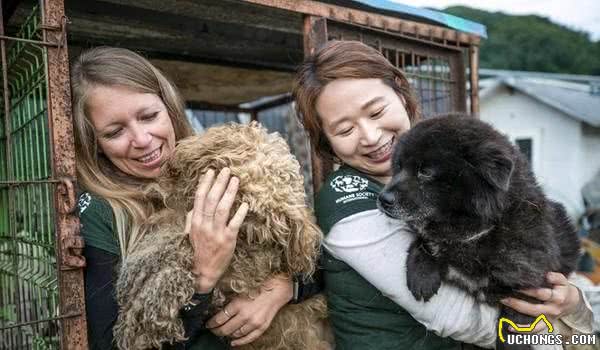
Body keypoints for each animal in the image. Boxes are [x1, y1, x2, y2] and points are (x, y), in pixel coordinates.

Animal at [378, 114, 580, 348]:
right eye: (398, 167)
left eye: (425, 172)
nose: (383, 199)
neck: (476, 231)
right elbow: (425, 239)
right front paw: (422, 273)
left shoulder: (529, 288)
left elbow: (514, 331)